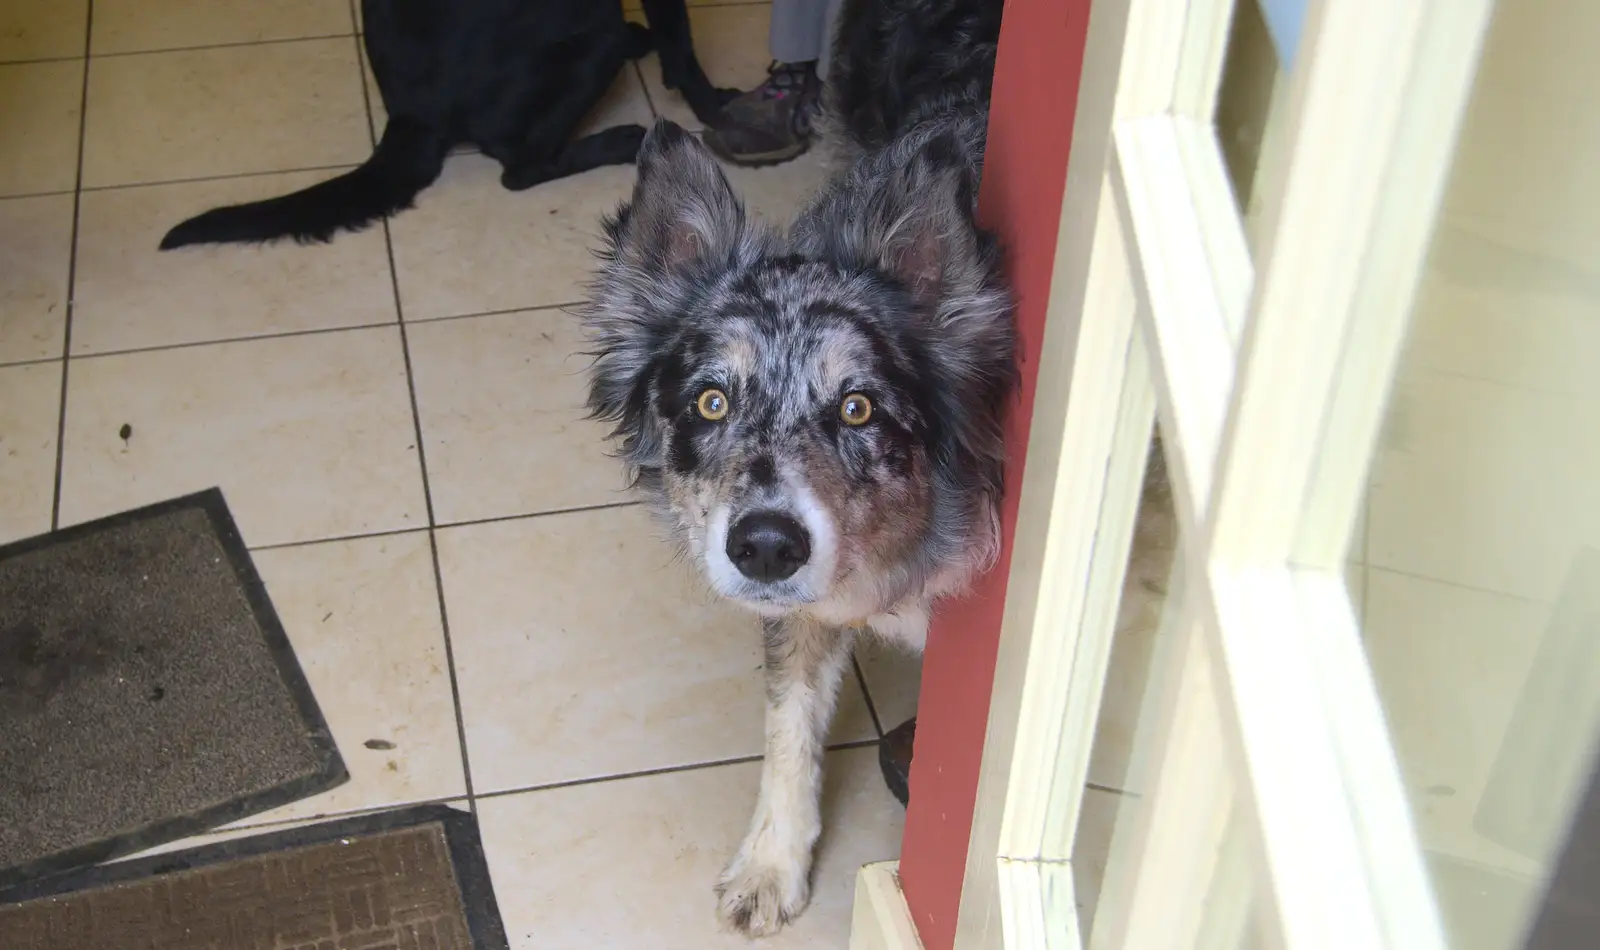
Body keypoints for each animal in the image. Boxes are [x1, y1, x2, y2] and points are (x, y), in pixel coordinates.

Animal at [159, 0, 732, 249]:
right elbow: (682, 47)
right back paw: (619, 139)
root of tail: (411, 112)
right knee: (518, 167)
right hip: (595, 38)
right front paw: (716, 107)